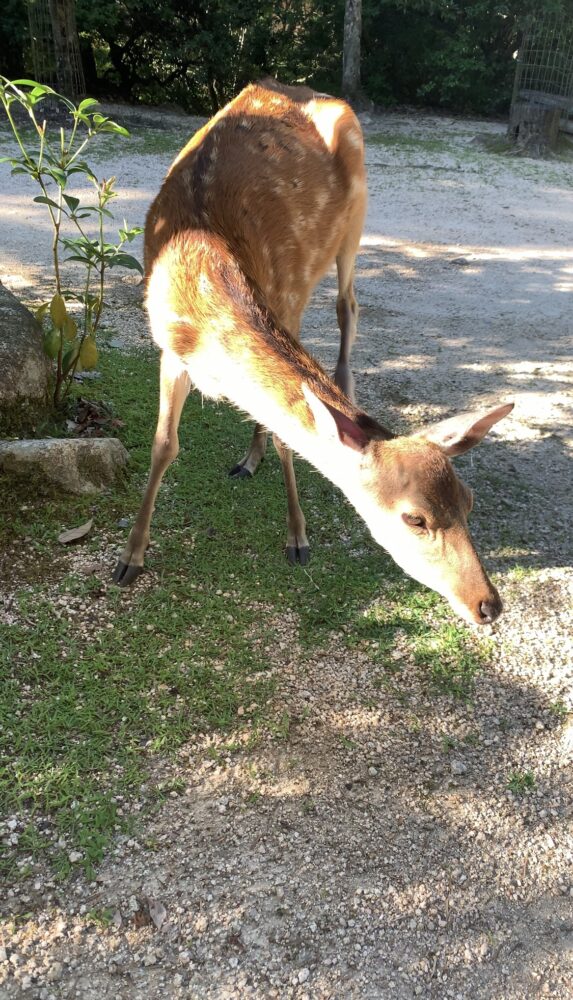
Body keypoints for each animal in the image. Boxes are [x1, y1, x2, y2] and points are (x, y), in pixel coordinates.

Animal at [113, 78, 512, 624]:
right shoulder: (169, 349)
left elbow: (290, 436)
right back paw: (248, 459)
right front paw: (130, 557)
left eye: (468, 502)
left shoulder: (283, 299)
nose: (487, 604)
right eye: (415, 518)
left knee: (348, 306)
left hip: (354, 219)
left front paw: (297, 538)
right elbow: (162, 445)